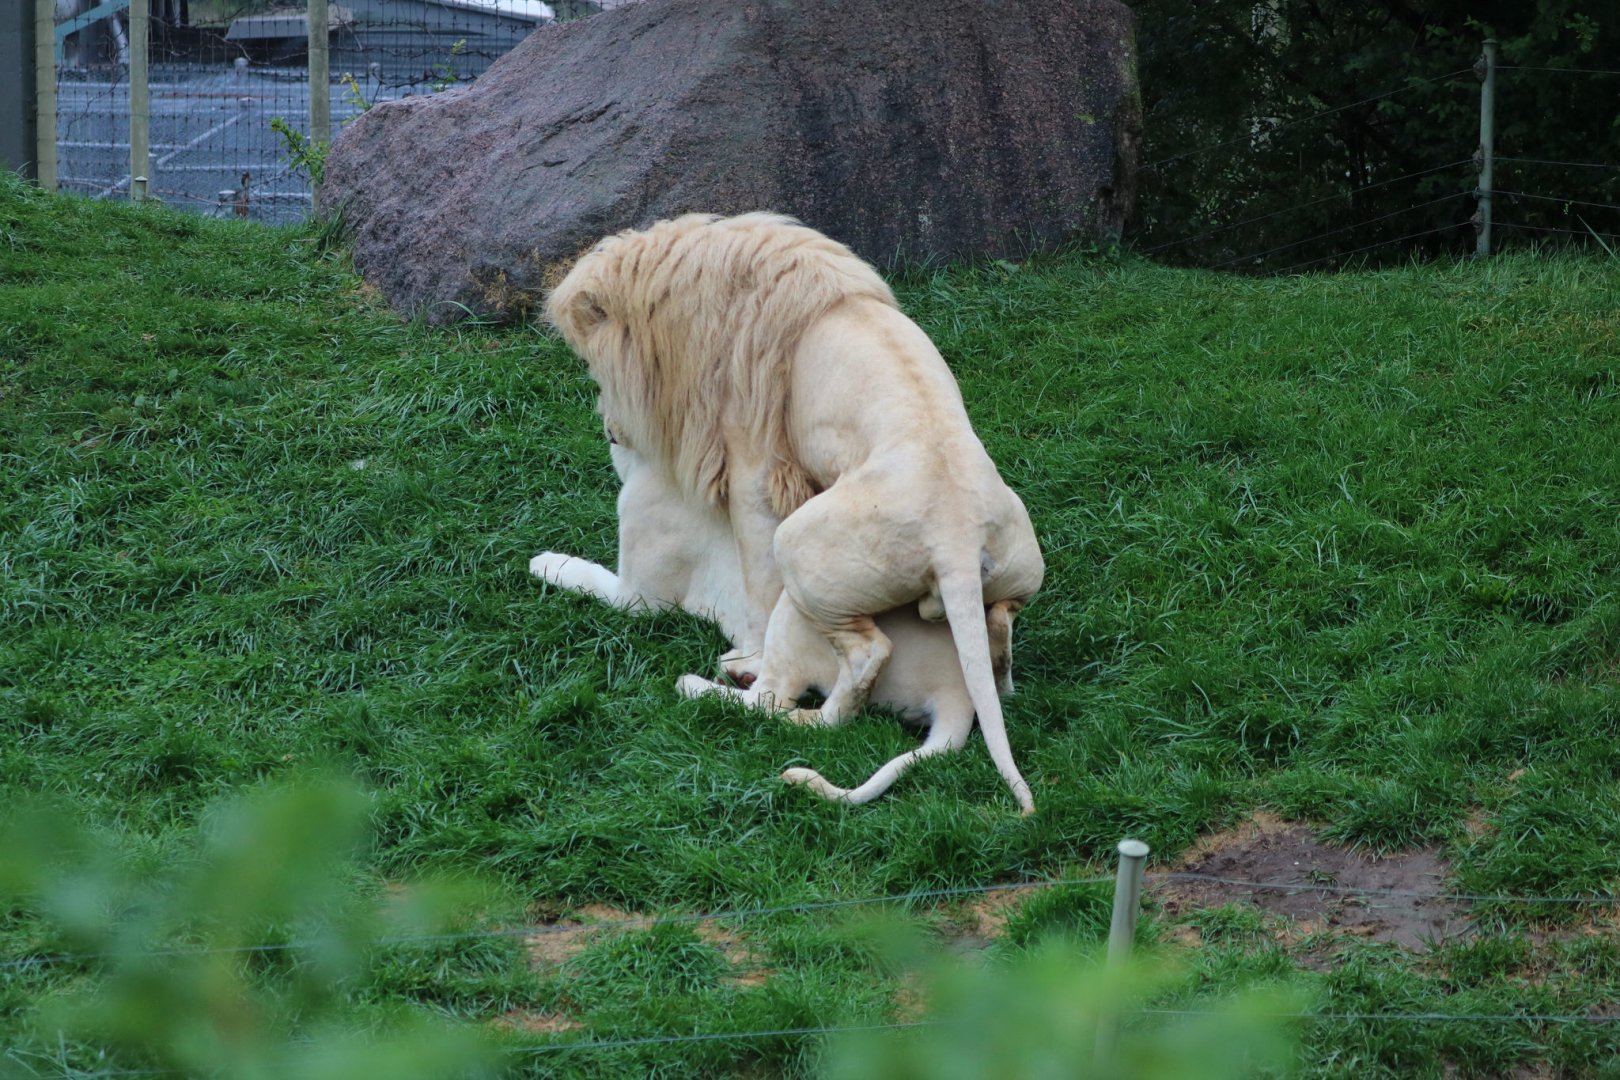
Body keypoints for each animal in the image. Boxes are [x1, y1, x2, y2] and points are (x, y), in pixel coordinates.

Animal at [546, 212, 1045, 813]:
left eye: (592, 368)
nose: (608, 430)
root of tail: (957, 538)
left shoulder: (752, 461)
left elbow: (753, 573)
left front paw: (749, 653)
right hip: (1014, 568)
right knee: (999, 633)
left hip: (802, 549)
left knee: (852, 663)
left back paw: (748, 692)